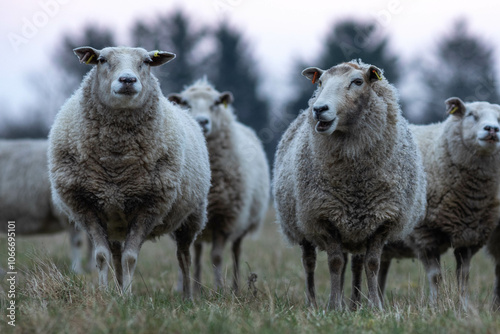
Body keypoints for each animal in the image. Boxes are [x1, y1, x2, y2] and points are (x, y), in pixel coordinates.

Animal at [47, 45, 210, 298]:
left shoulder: (149, 206)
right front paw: (106, 294)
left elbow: (130, 258)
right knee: (115, 255)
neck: (116, 160)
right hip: (114, 222)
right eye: (101, 60)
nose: (127, 80)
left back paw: (187, 297)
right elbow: (102, 256)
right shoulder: (86, 206)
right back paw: (118, 289)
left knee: (184, 257)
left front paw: (128, 296)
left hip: (192, 215)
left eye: (146, 61)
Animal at [168, 78, 270, 294]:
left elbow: (216, 256)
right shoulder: (184, 218)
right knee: (197, 251)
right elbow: (183, 257)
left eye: (215, 103)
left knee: (236, 252)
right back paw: (197, 288)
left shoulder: (223, 219)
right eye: (185, 103)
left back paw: (235, 287)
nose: (202, 121)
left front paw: (219, 289)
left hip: (241, 222)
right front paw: (182, 289)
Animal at [274, 60, 426, 310]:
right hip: (303, 223)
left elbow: (372, 264)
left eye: (357, 82)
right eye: (320, 82)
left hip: (356, 229)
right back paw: (313, 303)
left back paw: (355, 304)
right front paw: (334, 306)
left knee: (355, 264)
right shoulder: (325, 216)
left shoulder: (382, 219)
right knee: (310, 263)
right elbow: (335, 263)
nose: (319, 109)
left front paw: (375, 306)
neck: (355, 181)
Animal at [376, 97, 500, 306]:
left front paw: (464, 306)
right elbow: (435, 276)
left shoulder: (469, 236)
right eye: (471, 115)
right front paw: (435, 304)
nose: (492, 129)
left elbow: (463, 275)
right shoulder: (425, 235)